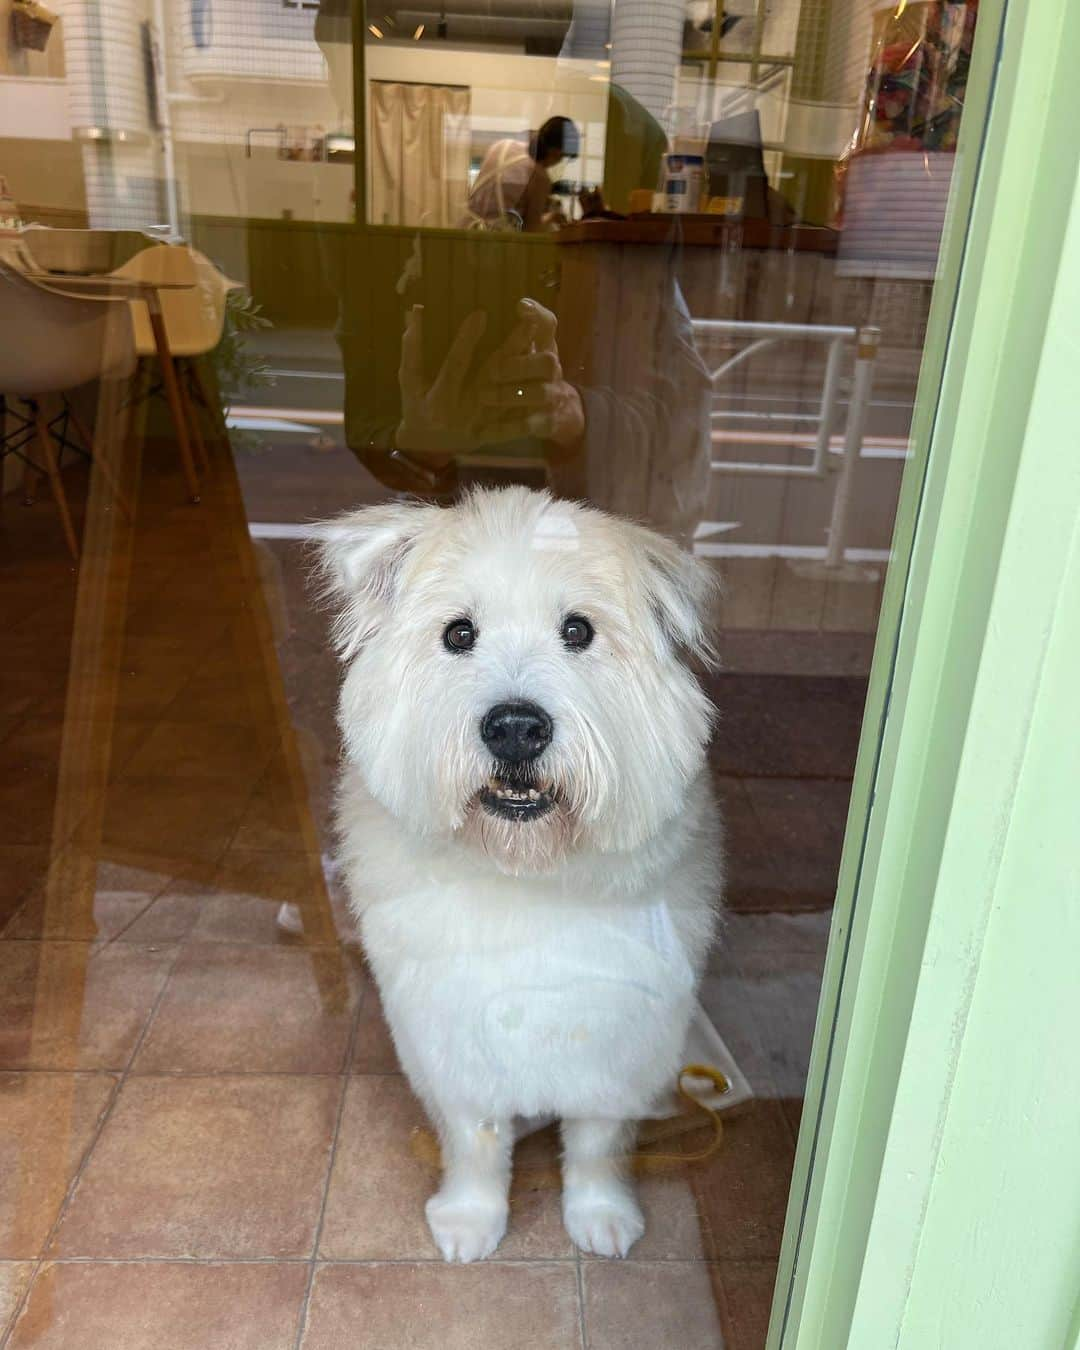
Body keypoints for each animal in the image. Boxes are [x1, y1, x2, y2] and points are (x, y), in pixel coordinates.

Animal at [314, 488, 718, 1263]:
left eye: (578, 630)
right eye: (459, 634)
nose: (515, 729)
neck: (524, 870)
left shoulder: (617, 1040)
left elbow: (596, 1142)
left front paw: (601, 1217)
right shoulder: (449, 1034)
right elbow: (476, 1141)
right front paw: (471, 1222)